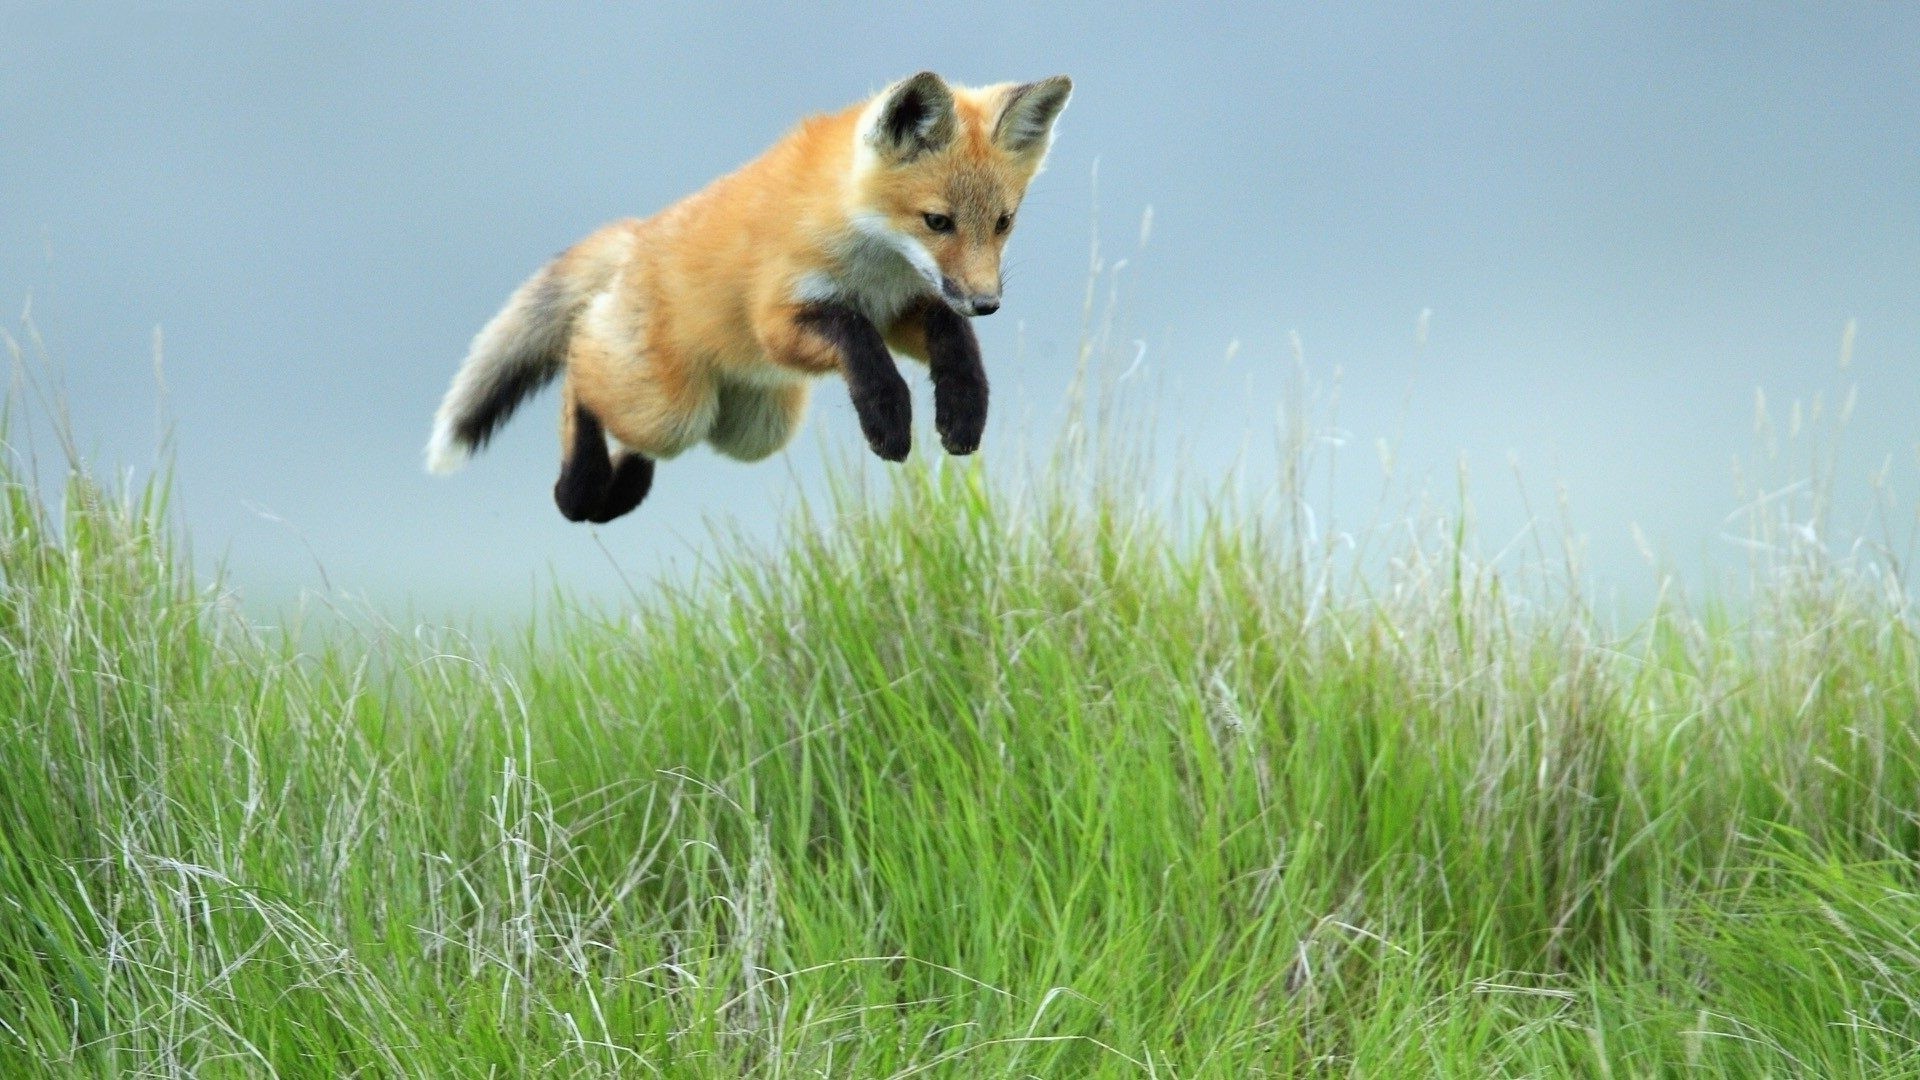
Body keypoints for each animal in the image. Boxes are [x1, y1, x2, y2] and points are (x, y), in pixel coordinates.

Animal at [422, 67, 1075, 522]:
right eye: (937, 222)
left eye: (1003, 223)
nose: (988, 303)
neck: (873, 263)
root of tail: (638, 234)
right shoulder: (781, 320)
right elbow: (857, 339)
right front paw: (887, 416)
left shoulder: (904, 306)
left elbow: (953, 338)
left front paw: (964, 407)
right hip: (670, 409)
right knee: (579, 370)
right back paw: (576, 488)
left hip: (750, 430)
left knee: (636, 436)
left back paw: (613, 494)